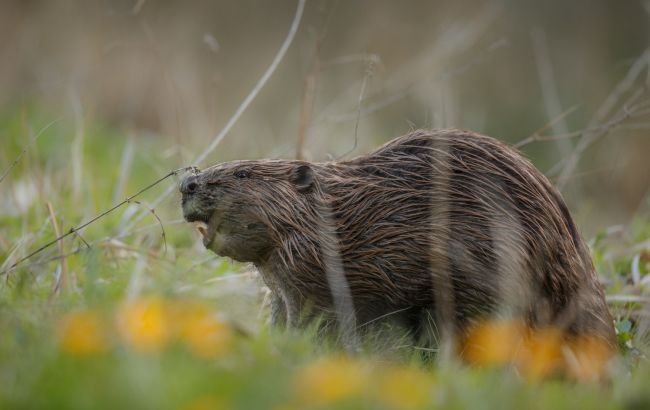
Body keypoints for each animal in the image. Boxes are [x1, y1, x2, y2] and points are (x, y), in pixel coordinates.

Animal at [180, 130, 616, 348]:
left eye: (242, 174)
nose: (187, 184)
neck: (334, 218)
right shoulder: (284, 283)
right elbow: (282, 315)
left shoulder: (325, 275)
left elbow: (324, 320)